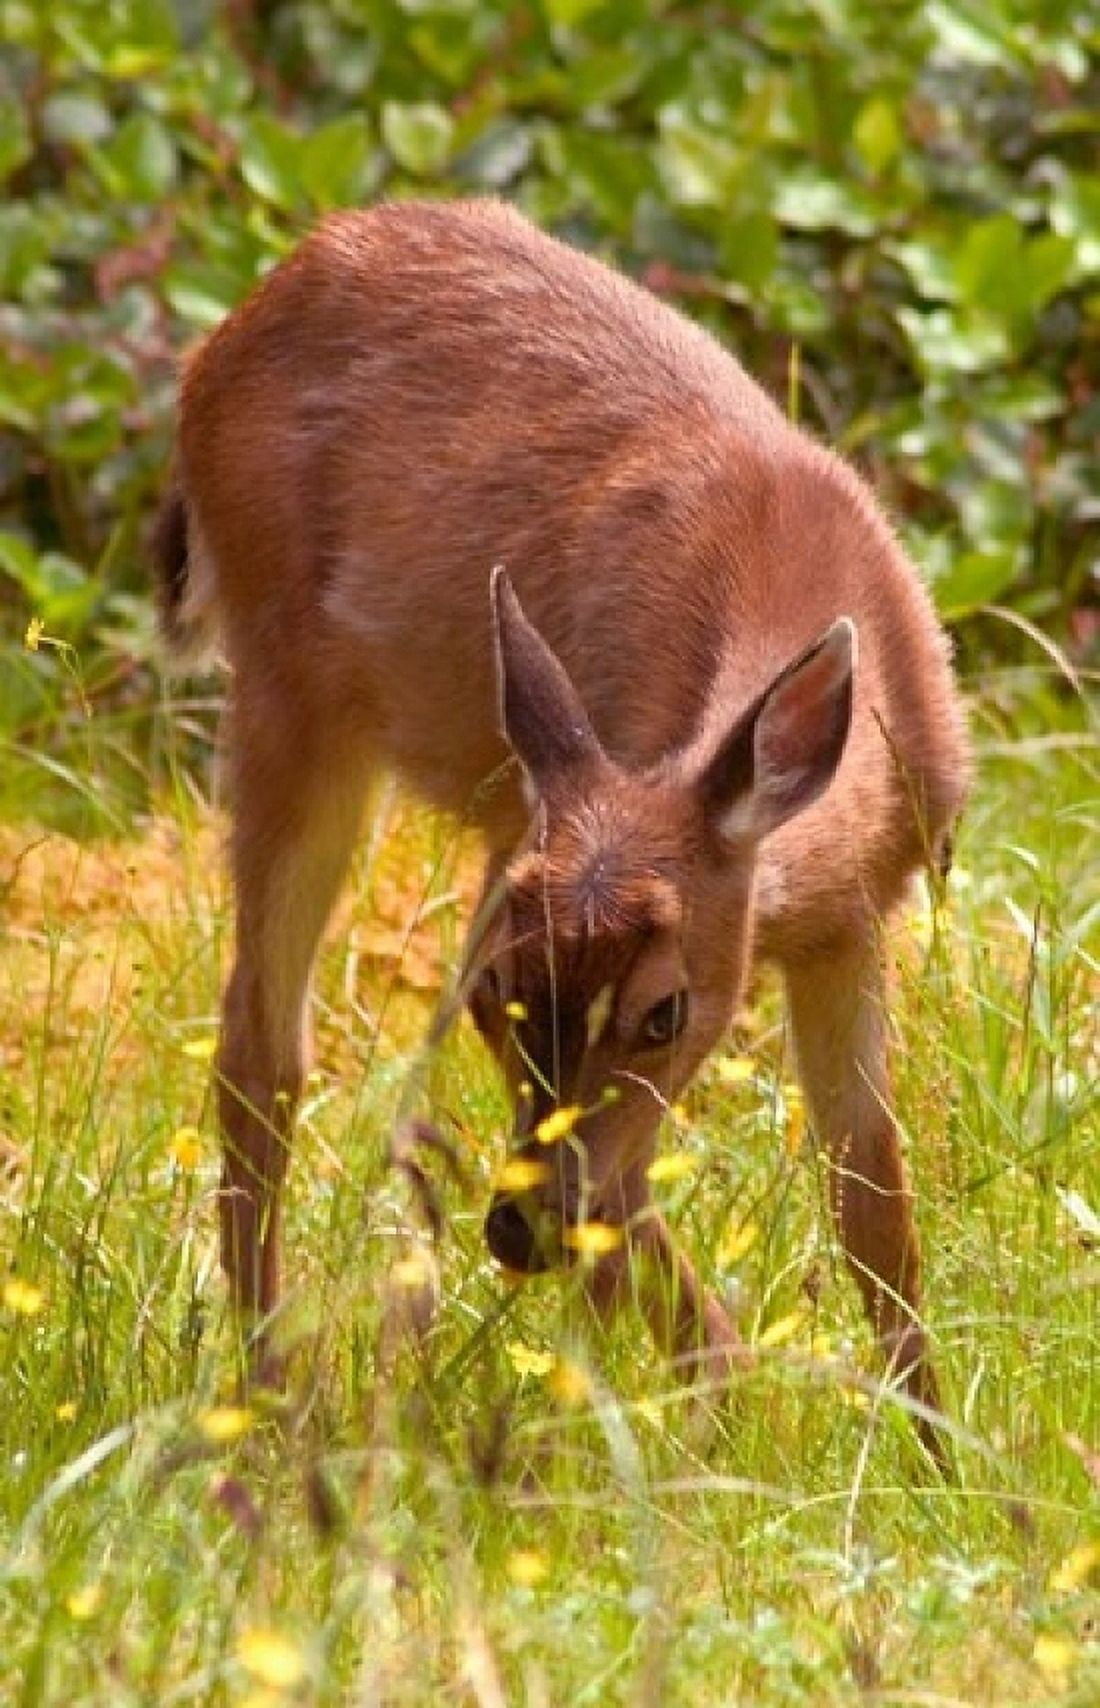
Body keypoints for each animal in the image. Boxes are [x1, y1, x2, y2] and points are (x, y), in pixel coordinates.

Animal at [154, 197, 970, 1459]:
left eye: (664, 1010)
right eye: (495, 990)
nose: (511, 1235)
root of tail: (231, 327)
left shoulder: (849, 921)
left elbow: (871, 1194)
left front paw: (943, 1461)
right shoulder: (524, 858)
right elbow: (624, 1188)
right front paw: (712, 1412)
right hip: (287, 691)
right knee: (259, 1043)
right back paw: (274, 1399)